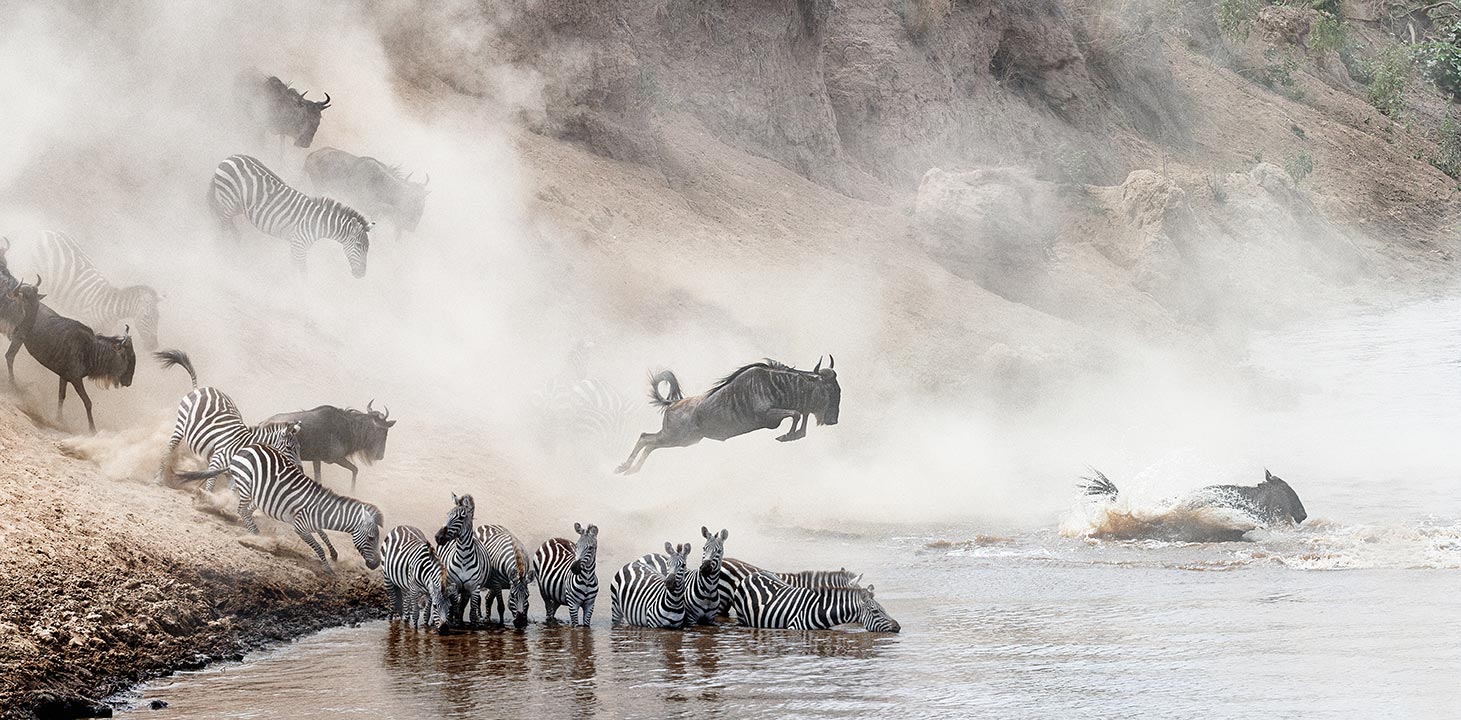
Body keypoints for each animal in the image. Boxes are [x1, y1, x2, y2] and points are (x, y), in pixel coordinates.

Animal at [155, 350, 300, 491]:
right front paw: (205, 496)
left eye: (298, 448)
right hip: (180, 425)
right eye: (289, 448)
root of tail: (201, 388)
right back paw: (158, 478)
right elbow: (210, 485)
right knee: (169, 450)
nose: (300, 468)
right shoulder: (216, 462)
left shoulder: (232, 473)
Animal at [177, 443, 383, 575]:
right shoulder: (300, 527)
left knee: (248, 511)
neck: (323, 511)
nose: (376, 565)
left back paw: (256, 534)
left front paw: (334, 554)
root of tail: (243, 450)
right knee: (241, 510)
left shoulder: (311, 522)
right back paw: (258, 538)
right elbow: (318, 547)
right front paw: (329, 569)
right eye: (371, 538)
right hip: (246, 486)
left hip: (259, 495)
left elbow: (324, 534)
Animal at [207, 154, 374, 278]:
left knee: (224, 219)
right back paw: (223, 250)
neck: (320, 223)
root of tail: (232, 157)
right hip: (230, 200)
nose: (361, 275)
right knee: (223, 222)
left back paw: (236, 243)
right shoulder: (299, 245)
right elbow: (303, 273)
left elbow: (294, 268)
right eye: (359, 246)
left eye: (367, 248)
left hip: (237, 205)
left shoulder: (296, 246)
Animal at [433, 493, 487, 626]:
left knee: (463, 604)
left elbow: (472, 612)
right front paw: (454, 622)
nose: (438, 537)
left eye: (461, 518)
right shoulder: (454, 585)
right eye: (448, 514)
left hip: (466, 590)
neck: (463, 556)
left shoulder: (475, 588)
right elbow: (455, 608)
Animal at [730, 572, 899, 632]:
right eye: (875, 611)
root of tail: (752, 574)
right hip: (742, 618)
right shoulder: (794, 628)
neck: (820, 610)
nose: (898, 627)